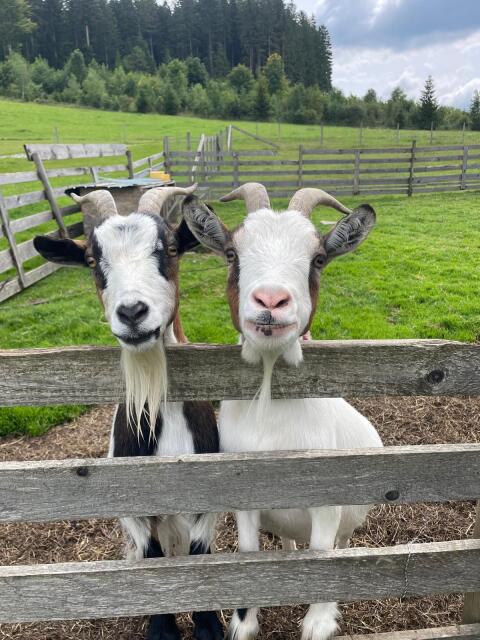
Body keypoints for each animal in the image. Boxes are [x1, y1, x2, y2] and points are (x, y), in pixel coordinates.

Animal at [34, 186, 223, 640]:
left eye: (169, 248)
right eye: (91, 260)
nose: (133, 312)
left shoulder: (207, 498)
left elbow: (201, 553)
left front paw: (208, 624)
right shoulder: (131, 503)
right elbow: (151, 555)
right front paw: (162, 628)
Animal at [182, 183, 383, 640]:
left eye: (319, 258)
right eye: (232, 253)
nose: (271, 300)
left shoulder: (327, 505)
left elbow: (322, 558)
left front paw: (320, 621)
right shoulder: (246, 500)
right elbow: (248, 551)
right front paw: (245, 621)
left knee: (342, 544)